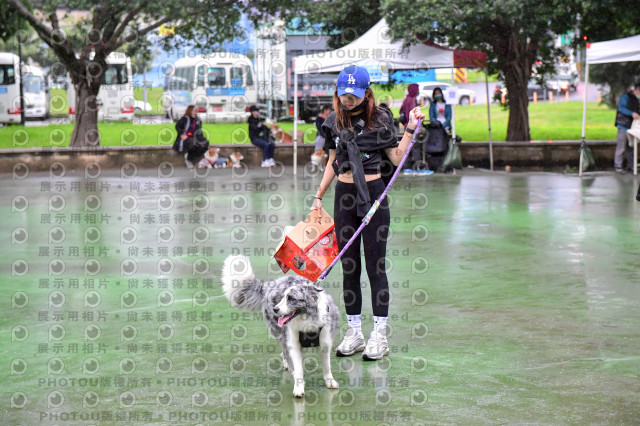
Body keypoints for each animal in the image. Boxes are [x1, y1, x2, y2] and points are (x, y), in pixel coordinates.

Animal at [221, 255, 340, 398]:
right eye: (282, 298)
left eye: (292, 298)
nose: (275, 309)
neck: (307, 320)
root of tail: (269, 284)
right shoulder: (293, 342)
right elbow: (297, 367)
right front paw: (299, 387)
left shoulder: (325, 342)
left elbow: (327, 366)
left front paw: (330, 381)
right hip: (281, 335)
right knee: (286, 353)